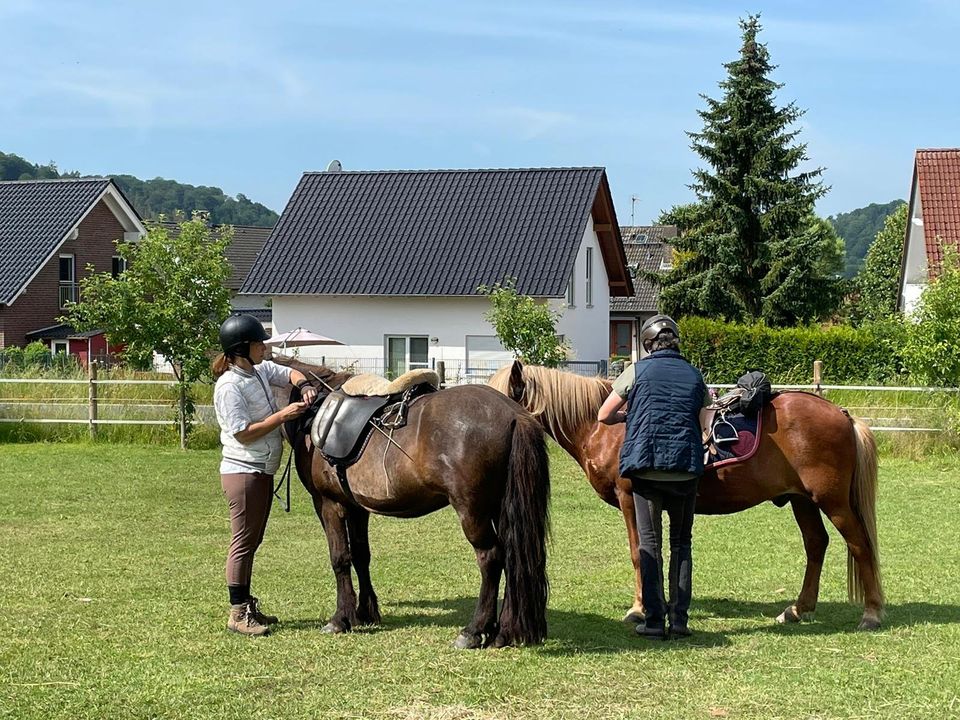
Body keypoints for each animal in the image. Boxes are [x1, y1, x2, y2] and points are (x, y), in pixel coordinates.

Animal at [278, 360, 548, 648]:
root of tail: (514, 414)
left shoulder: (329, 503)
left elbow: (340, 558)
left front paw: (340, 618)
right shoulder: (358, 508)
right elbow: (361, 555)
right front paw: (365, 612)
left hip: (473, 511)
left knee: (491, 557)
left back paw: (473, 631)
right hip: (500, 508)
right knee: (511, 556)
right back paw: (504, 631)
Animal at [488, 362, 884, 628]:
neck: (605, 426)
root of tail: (843, 415)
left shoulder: (630, 497)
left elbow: (639, 552)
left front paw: (639, 608)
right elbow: (656, 553)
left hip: (833, 502)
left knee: (860, 544)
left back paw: (872, 613)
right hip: (803, 500)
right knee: (816, 545)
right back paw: (798, 609)